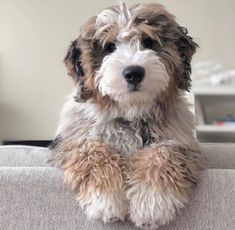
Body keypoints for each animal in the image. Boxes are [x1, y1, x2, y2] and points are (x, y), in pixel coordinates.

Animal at [50, 2, 204, 229]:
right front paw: (106, 200)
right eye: (109, 47)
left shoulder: (182, 143)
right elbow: (92, 151)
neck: (132, 115)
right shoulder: (72, 141)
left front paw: (151, 203)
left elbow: (164, 152)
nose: (133, 73)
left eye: (148, 42)